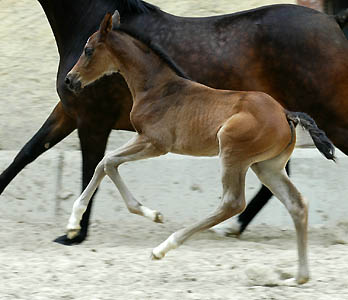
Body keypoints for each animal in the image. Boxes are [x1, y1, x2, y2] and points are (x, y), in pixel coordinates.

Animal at [0, 0, 348, 245]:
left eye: (88, 50)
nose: (71, 80)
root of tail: (333, 21)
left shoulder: (98, 121)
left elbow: (94, 165)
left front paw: (75, 232)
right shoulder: (71, 113)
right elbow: (29, 153)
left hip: (328, 118)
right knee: (278, 180)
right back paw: (232, 228)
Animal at [64, 11, 334, 284]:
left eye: (88, 50)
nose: (70, 80)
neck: (156, 88)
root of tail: (285, 113)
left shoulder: (155, 143)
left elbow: (108, 162)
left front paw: (149, 214)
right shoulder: (142, 138)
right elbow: (104, 163)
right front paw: (74, 225)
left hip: (232, 153)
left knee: (232, 203)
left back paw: (164, 247)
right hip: (266, 166)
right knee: (297, 204)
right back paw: (299, 278)